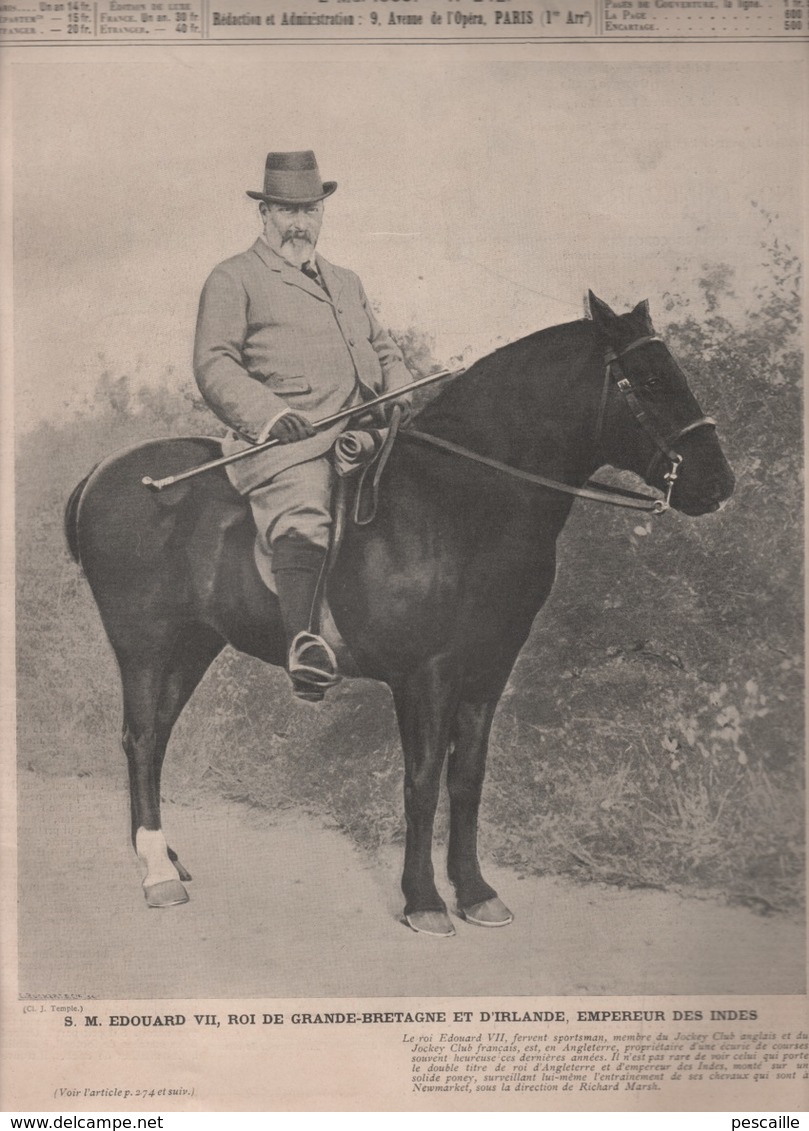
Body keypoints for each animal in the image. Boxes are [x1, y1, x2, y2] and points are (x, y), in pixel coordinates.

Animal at [64, 291, 733, 936]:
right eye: (649, 380)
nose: (719, 483)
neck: (459, 500)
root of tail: (104, 472)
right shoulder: (426, 674)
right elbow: (423, 781)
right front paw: (424, 901)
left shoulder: (489, 670)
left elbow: (468, 779)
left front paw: (476, 892)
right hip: (144, 645)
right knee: (141, 737)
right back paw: (156, 874)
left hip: (193, 645)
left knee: (156, 737)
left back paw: (163, 855)